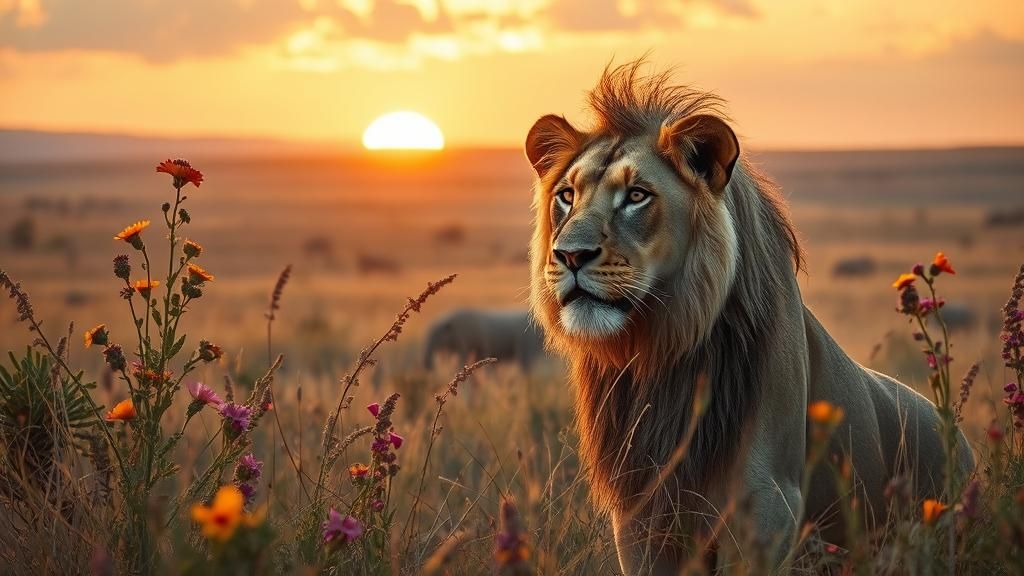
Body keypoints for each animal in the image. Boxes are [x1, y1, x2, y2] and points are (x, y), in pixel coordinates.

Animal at [524, 61, 974, 574]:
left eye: (637, 195)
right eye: (566, 195)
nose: (569, 254)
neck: (661, 353)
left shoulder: (767, 504)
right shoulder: (640, 513)